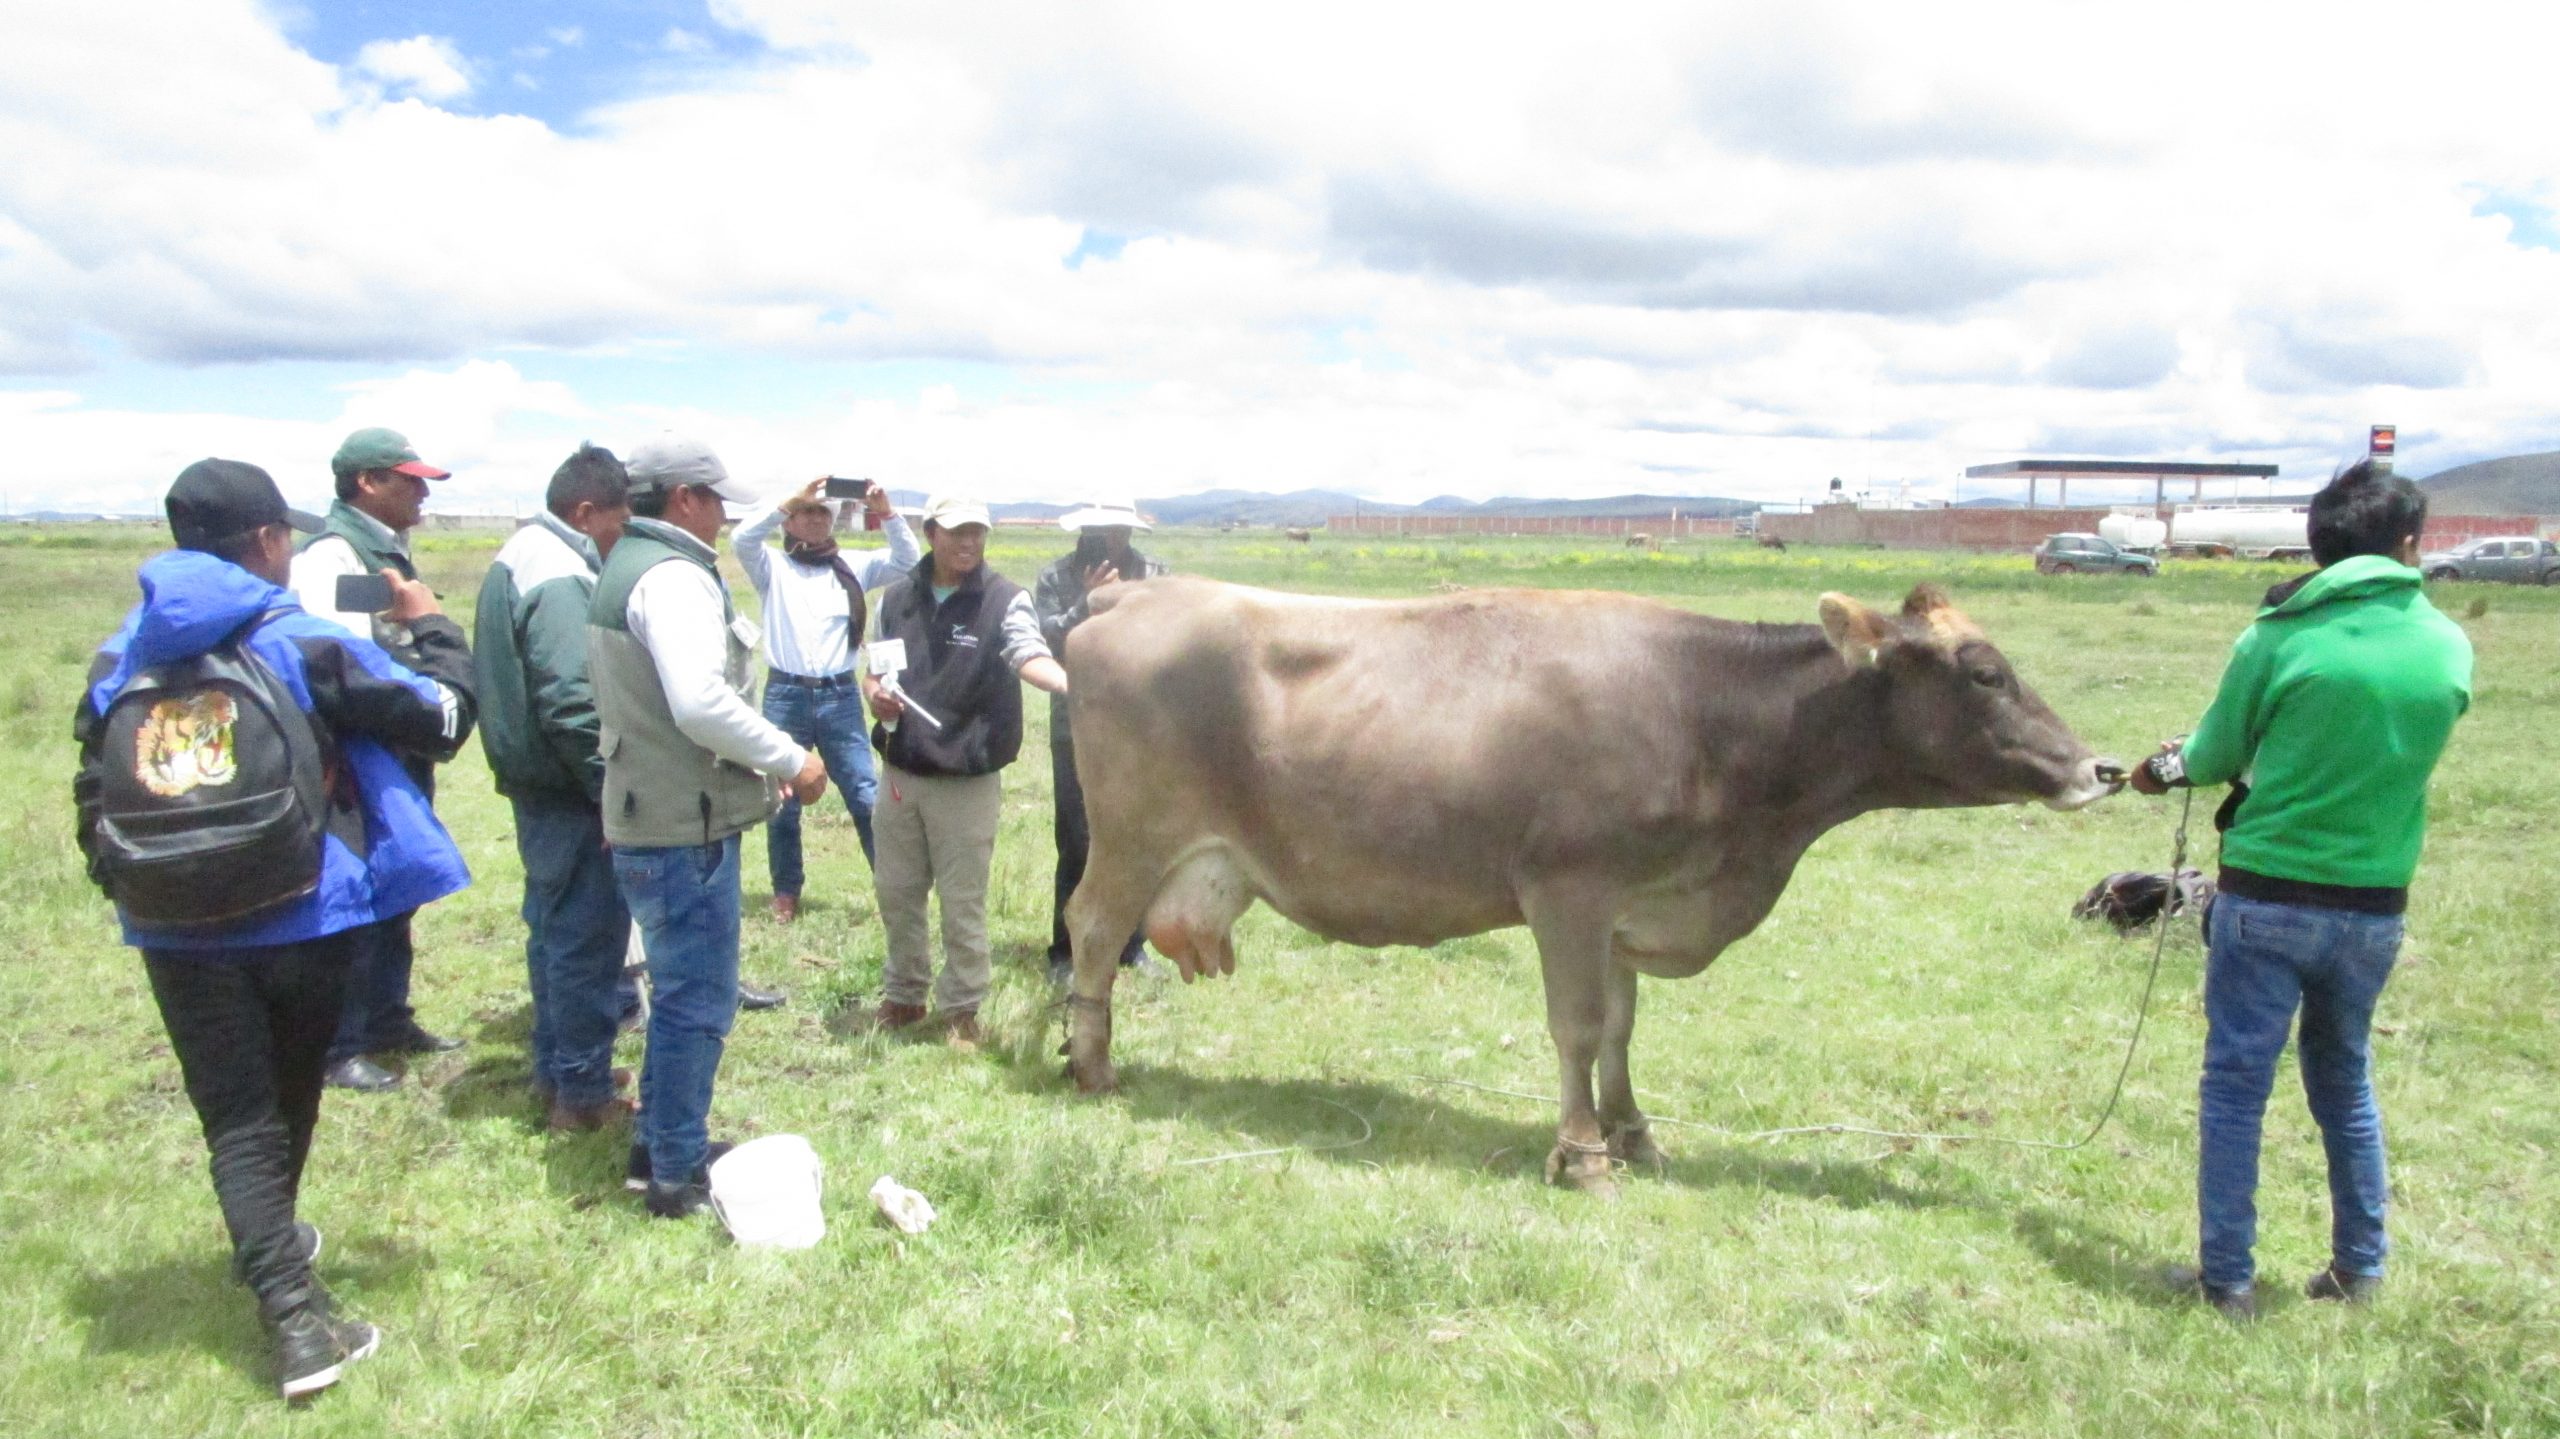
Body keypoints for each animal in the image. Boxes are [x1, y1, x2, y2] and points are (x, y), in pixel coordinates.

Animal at [1057, 578, 2123, 1193]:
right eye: (1984, 673)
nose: (2101, 766)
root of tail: (1134, 595)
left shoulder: (1625, 906)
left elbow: (1619, 1027)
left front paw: (1636, 1131)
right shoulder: (1567, 888)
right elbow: (1574, 1024)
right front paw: (1581, 1152)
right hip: (1130, 838)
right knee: (1093, 928)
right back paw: (1092, 1066)